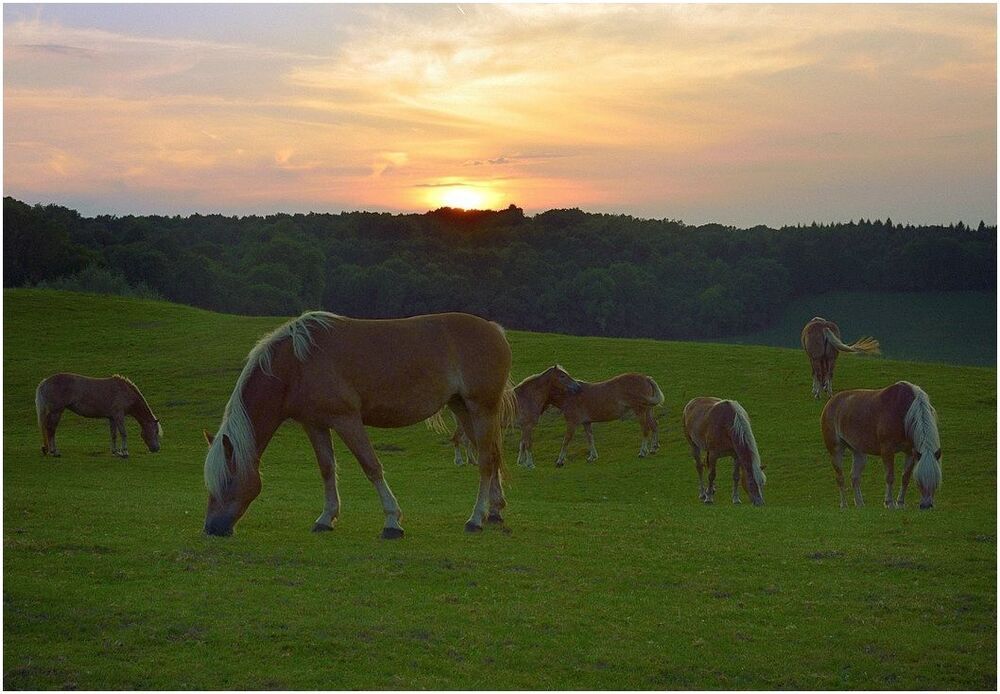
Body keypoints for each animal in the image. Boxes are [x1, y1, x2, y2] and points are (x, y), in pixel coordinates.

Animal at [202, 310, 516, 539]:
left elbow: (371, 466)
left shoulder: (347, 420)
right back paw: (494, 511)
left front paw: (392, 522)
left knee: (486, 461)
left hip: (481, 408)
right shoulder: (315, 425)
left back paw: (475, 519)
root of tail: (494, 329)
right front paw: (325, 518)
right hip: (462, 408)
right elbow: (327, 469)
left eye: (227, 480)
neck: (297, 363)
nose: (212, 528)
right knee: (491, 456)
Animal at [449, 365, 582, 469]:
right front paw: (530, 464)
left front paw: (521, 463)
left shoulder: (524, 427)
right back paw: (459, 461)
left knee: (465, 441)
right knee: (456, 439)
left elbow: (522, 444)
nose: (578, 386)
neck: (528, 397)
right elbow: (528, 444)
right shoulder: (528, 426)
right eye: (562, 376)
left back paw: (473, 461)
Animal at [821, 381, 941, 510]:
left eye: (936, 482)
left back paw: (860, 504)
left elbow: (905, 477)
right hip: (836, 450)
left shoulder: (910, 452)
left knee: (855, 477)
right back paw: (844, 505)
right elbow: (889, 477)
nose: (926, 505)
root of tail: (830, 403)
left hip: (859, 453)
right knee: (840, 478)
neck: (904, 413)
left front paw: (900, 503)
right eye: (919, 482)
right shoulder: (887, 450)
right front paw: (889, 503)